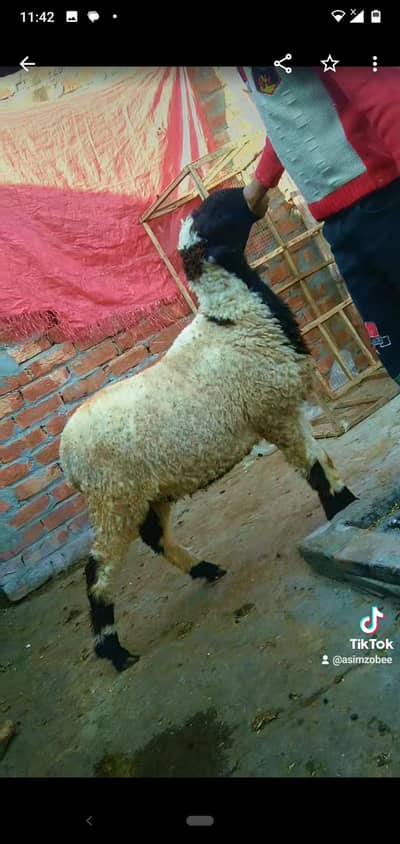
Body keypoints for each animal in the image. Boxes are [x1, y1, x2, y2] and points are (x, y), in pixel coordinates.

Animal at [60, 186, 356, 673]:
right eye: (217, 212)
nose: (257, 189)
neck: (232, 317)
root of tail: (65, 459)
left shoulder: (285, 409)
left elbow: (324, 459)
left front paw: (346, 502)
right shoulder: (274, 411)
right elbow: (314, 467)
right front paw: (343, 508)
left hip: (148, 489)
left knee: (154, 537)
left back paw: (205, 569)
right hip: (113, 497)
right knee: (98, 569)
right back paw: (115, 651)